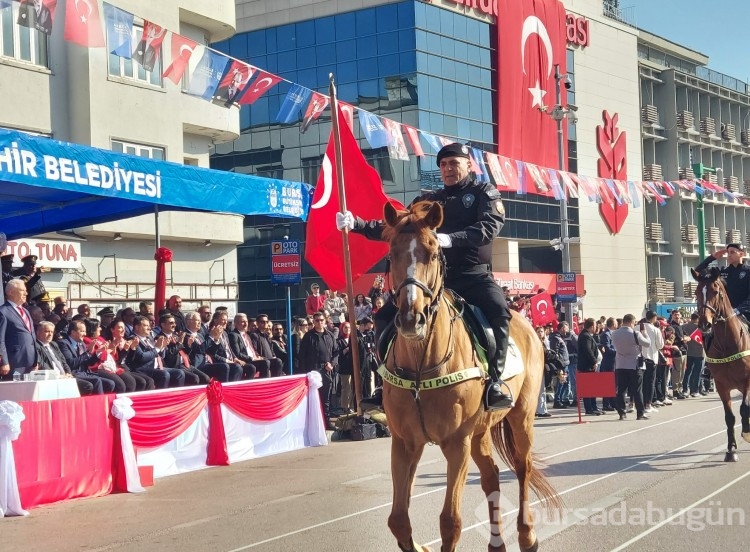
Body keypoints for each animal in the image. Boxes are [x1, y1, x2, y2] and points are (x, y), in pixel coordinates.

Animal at [378, 203, 560, 552]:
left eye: (432, 252)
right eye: (392, 253)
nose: (410, 318)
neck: (421, 367)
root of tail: (527, 324)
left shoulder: (456, 443)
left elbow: (450, 522)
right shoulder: (404, 443)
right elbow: (397, 521)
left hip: (521, 417)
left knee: (523, 469)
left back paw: (527, 535)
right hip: (481, 431)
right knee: (491, 475)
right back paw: (497, 543)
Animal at [692, 266, 750, 462]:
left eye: (715, 292)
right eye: (696, 292)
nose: (704, 324)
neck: (727, 345)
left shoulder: (748, 382)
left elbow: (744, 408)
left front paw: (746, 432)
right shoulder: (721, 385)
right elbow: (729, 417)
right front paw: (731, 450)